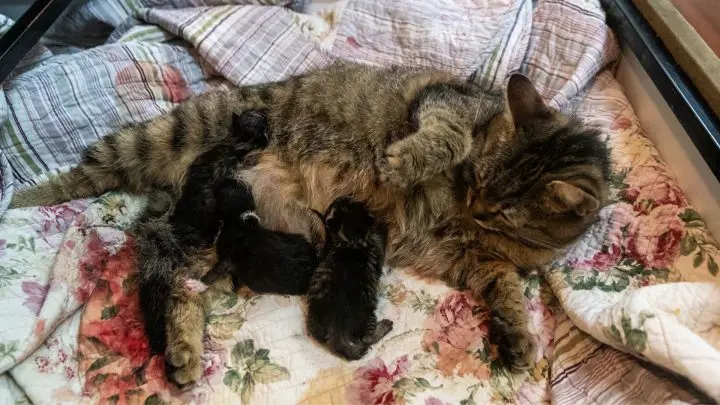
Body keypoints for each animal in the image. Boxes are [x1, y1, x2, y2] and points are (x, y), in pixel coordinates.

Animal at [306, 197, 394, 358]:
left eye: (345, 203)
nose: (340, 197)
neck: (352, 240)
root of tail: (336, 328)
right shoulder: (376, 250)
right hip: (368, 316)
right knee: (366, 339)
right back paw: (383, 327)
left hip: (314, 317)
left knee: (317, 334)